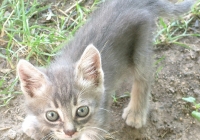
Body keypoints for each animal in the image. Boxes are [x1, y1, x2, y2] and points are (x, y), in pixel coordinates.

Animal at [16, 0, 195, 139]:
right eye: (52, 115)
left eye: (82, 111)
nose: (70, 132)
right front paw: (36, 125)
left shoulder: (98, 121)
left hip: (141, 49)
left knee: (144, 77)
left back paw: (136, 112)